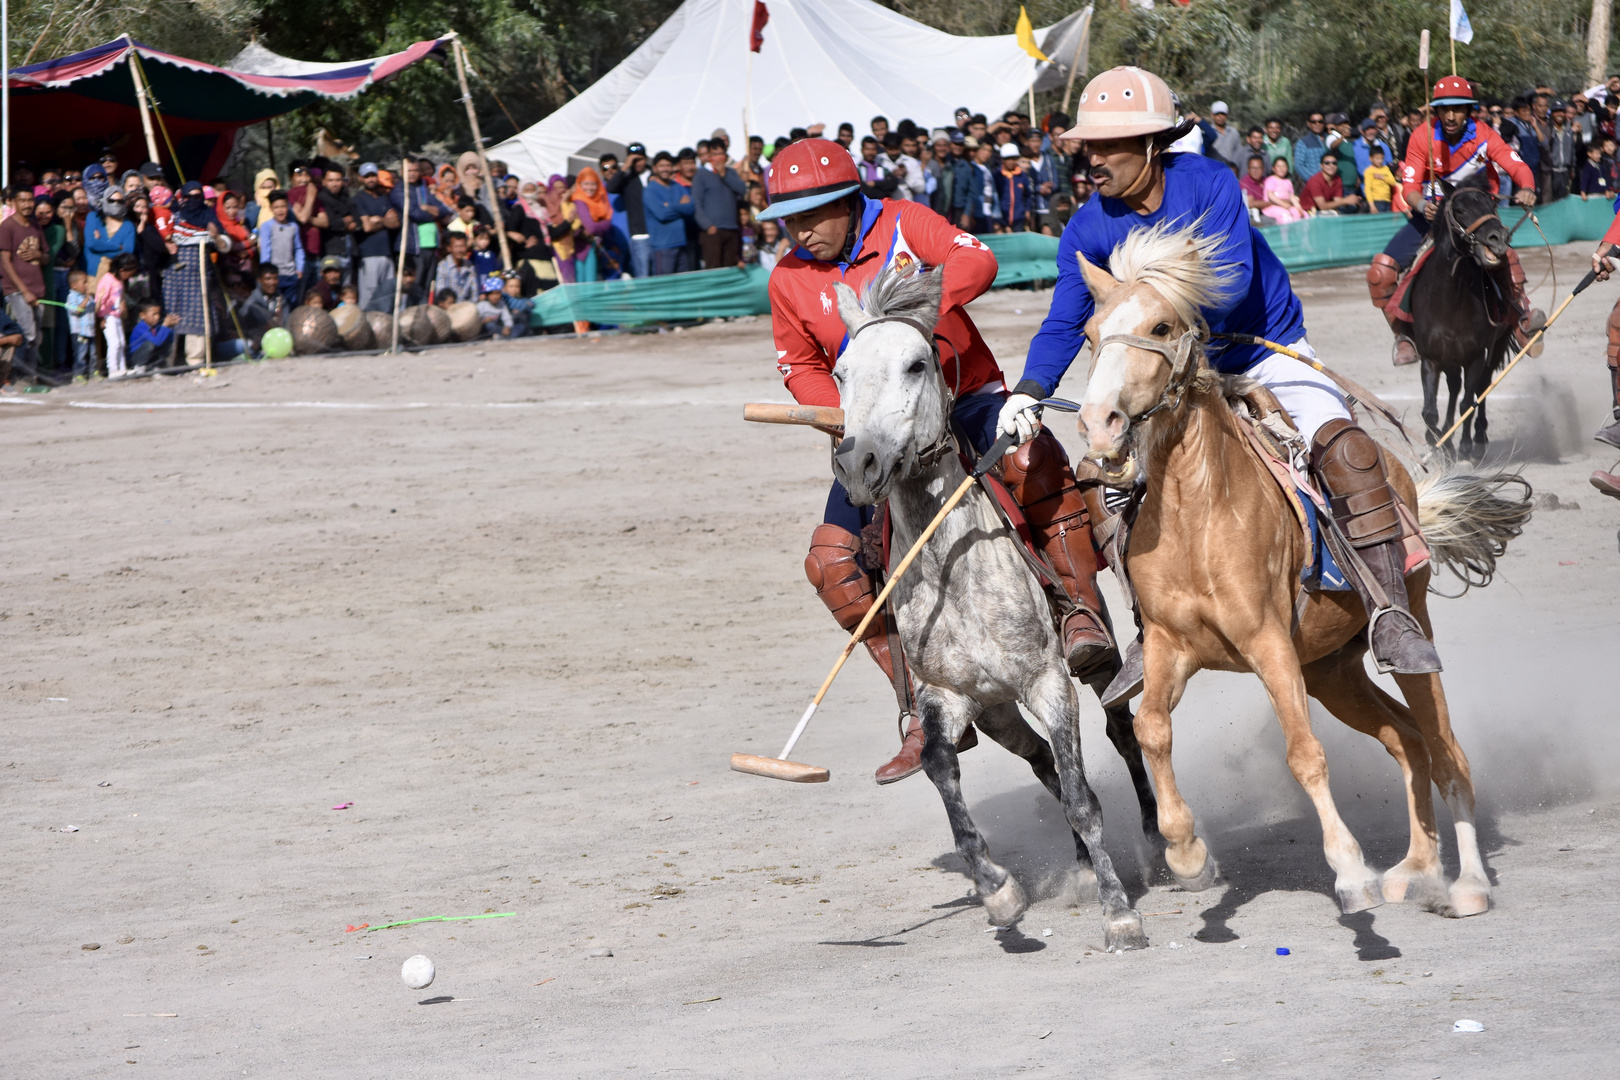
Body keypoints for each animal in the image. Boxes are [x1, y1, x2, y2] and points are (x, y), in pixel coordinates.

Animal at [835, 265, 1153, 952]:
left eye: (916, 363)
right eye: (841, 373)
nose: (857, 462)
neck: (954, 570)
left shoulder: (1048, 681)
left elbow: (1084, 798)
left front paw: (1120, 914)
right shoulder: (946, 697)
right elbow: (941, 769)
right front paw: (998, 892)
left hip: (1093, 664)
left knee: (1120, 732)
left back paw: (1159, 839)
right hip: (999, 711)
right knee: (1044, 764)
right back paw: (1081, 868)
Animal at [1075, 221, 1529, 919]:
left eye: (1159, 326)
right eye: (1091, 335)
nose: (1099, 427)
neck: (1197, 515)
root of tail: (1405, 484)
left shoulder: (1268, 646)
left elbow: (1304, 754)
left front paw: (1348, 870)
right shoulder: (1172, 647)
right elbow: (1150, 728)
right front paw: (1187, 853)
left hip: (1405, 630)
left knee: (1447, 750)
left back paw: (1468, 884)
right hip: (1331, 670)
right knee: (1408, 741)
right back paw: (1417, 867)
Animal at [1412, 181, 1522, 456]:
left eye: (1492, 205)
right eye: (1460, 210)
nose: (1498, 238)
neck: (1450, 299)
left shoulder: (1475, 356)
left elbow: (1467, 403)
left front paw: (1464, 447)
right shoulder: (1431, 358)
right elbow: (1430, 411)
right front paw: (1438, 444)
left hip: (1495, 346)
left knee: (1481, 386)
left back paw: (1478, 437)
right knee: (1454, 387)